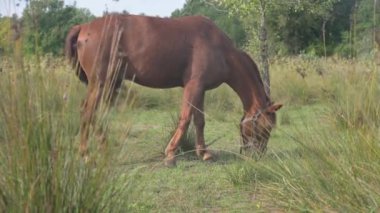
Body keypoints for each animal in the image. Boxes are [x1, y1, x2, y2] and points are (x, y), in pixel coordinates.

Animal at [64, 14, 282, 166]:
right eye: (266, 128)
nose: (258, 155)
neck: (220, 50)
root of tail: (83, 27)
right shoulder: (193, 86)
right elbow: (185, 118)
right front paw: (170, 155)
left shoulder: (200, 89)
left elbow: (199, 120)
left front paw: (204, 153)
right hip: (101, 83)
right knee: (88, 112)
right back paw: (86, 155)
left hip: (108, 84)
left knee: (94, 114)